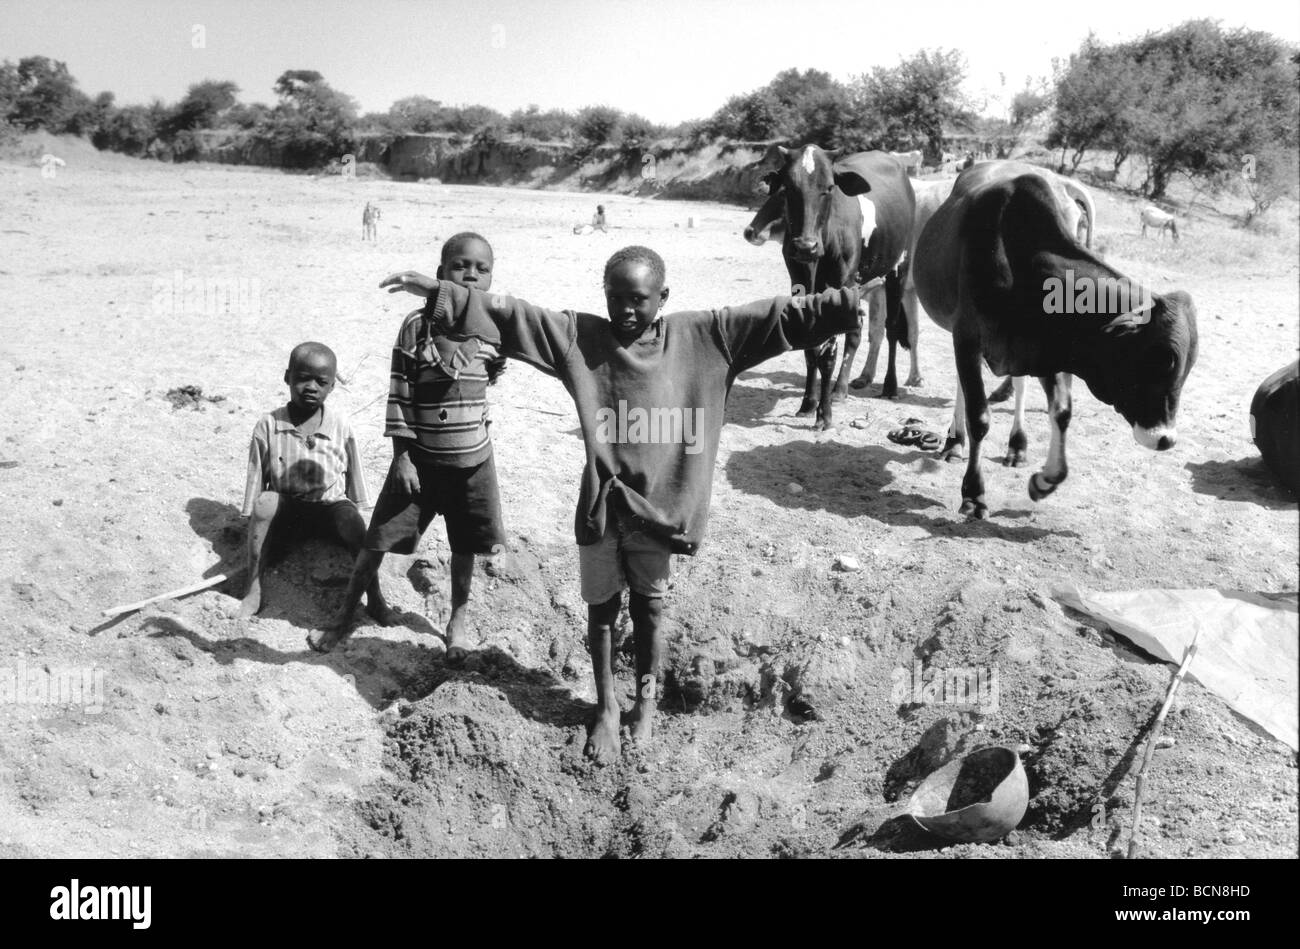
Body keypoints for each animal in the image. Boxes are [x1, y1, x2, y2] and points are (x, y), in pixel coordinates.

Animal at [909, 162, 1190, 517]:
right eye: (1159, 361)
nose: (1165, 439)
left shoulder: (1046, 350)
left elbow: (1062, 411)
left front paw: (1045, 479)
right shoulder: (967, 338)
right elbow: (979, 417)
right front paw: (973, 494)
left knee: (1017, 387)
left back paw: (1016, 445)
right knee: (966, 390)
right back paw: (954, 441)